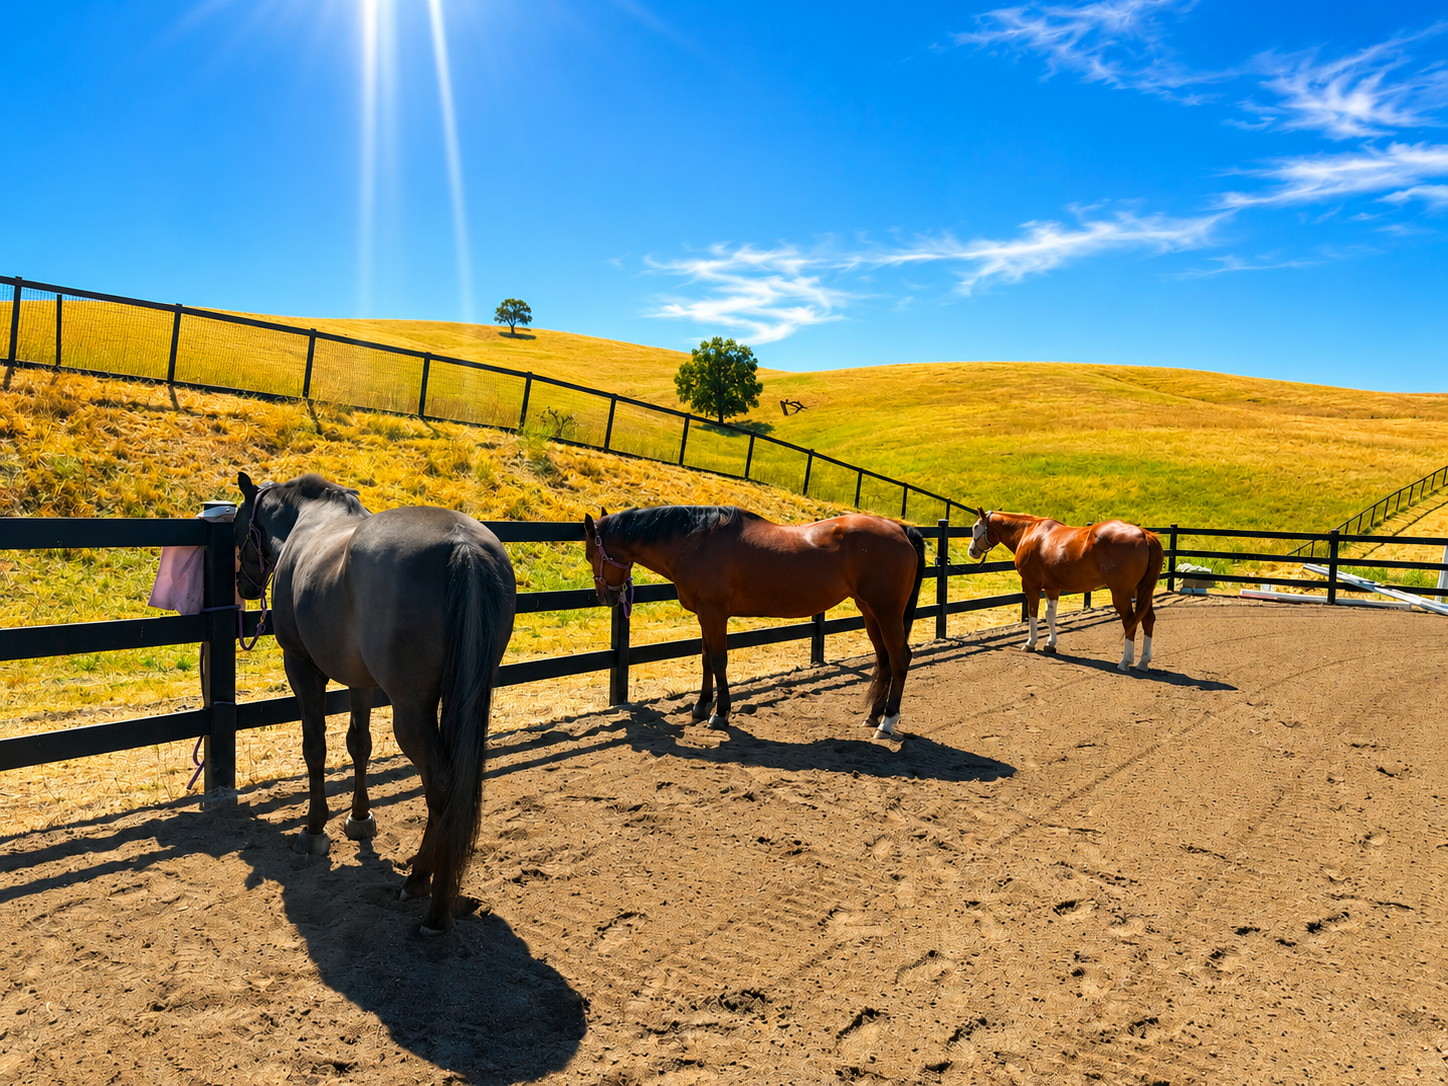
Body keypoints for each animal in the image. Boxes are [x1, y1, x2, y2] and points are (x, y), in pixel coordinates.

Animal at [235, 472, 516, 934]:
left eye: (239, 526)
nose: (242, 585)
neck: (309, 522)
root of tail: (462, 544)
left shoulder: (301, 667)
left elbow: (315, 748)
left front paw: (314, 830)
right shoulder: (360, 681)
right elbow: (359, 745)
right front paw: (360, 818)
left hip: (411, 711)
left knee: (440, 783)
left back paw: (426, 892)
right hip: (466, 695)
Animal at [582, 505, 926, 739]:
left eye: (589, 554)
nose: (604, 596)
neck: (696, 541)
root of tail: (901, 530)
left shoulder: (714, 613)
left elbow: (718, 661)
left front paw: (720, 714)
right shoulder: (705, 614)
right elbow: (705, 660)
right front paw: (700, 707)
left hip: (886, 611)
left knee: (899, 658)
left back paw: (887, 722)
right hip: (869, 611)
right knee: (884, 660)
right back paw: (873, 716)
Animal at [967, 508, 1162, 671]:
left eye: (976, 526)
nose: (972, 551)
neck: (1029, 532)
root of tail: (1144, 535)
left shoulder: (1031, 585)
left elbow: (1032, 613)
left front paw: (1030, 643)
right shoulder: (1052, 588)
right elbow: (1050, 615)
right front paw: (1050, 644)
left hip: (1121, 593)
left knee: (1129, 621)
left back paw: (1125, 662)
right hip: (1142, 591)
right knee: (1148, 620)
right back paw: (1143, 662)